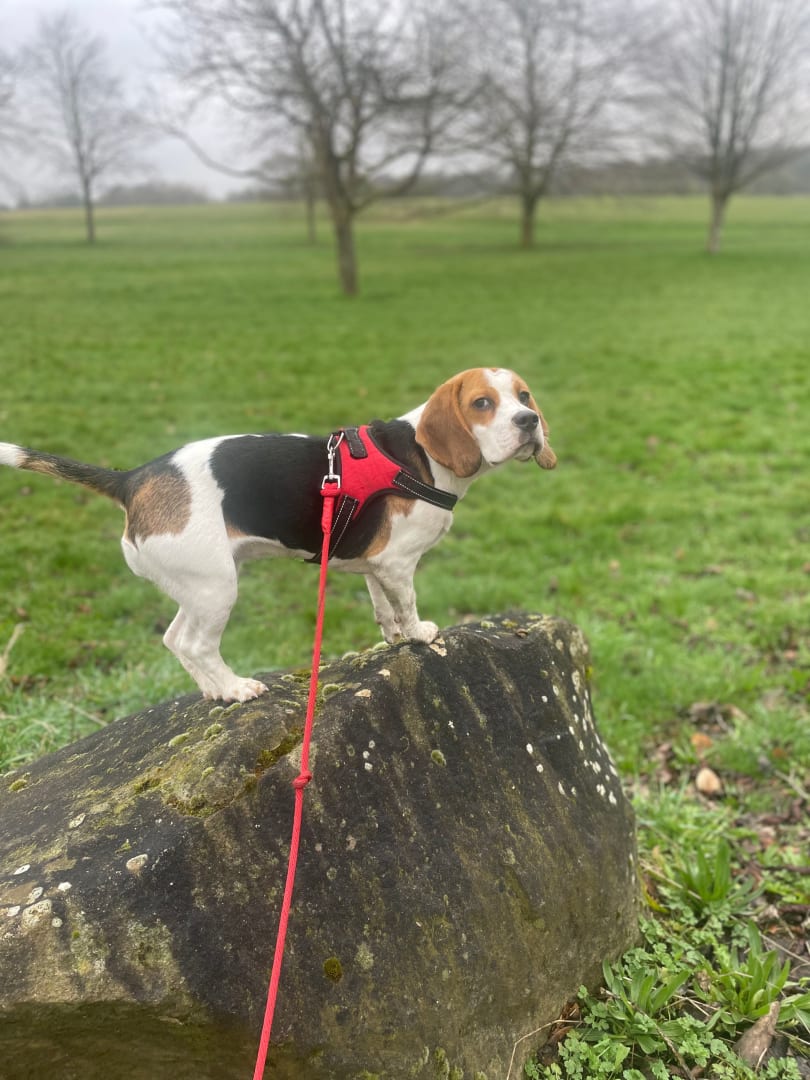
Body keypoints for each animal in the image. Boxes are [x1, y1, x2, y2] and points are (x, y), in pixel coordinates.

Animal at [0, 368, 556, 702]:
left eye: (524, 396)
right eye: (482, 403)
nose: (529, 421)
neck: (422, 455)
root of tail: (133, 478)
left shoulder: (377, 566)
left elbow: (383, 608)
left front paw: (394, 638)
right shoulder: (399, 565)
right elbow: (408, 604)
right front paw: (419, 633)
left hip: (197, 585)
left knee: (175, 639)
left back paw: (215, 691)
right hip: (217, 587)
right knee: (197, 643)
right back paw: (237, 688)